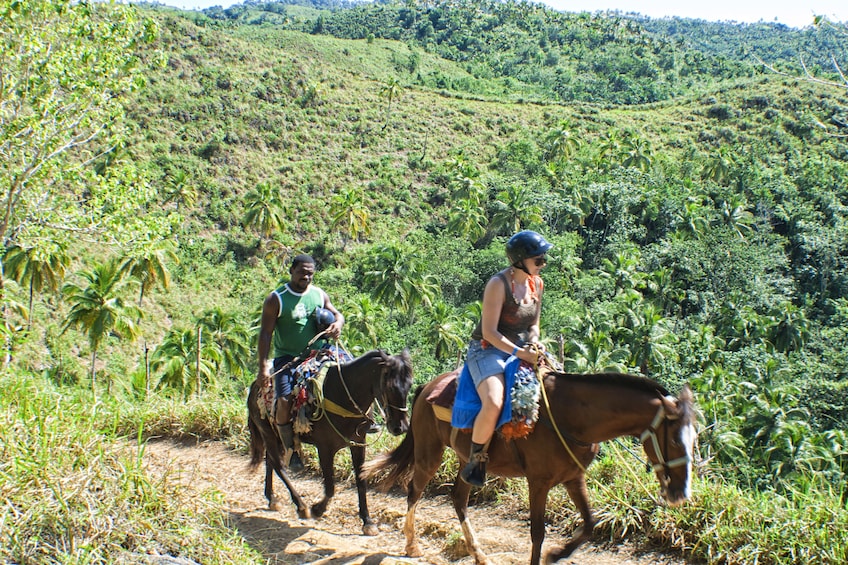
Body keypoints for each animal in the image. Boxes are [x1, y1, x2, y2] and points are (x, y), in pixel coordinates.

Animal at [245, 348, 414, 532]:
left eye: (409, 385)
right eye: (389, 386)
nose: (401, 427)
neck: (342, 395)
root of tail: (254, 386)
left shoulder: (358, 444)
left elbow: (360, 480)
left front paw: (367, 521)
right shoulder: (325, 448)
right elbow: (330, 487)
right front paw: (317, 509)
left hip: (275, 436)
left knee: (270, 461)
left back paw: (272, 498)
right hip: (267, 431)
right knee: (277, 464)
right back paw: (301, 506)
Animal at [364, 368, 696, 560]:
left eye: (694, 439)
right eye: (675, 440)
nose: (681, 493)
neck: (570, 416)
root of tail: (427, 388)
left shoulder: (574, 478)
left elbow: (589, 523)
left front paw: (559, 553)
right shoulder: (538, 482)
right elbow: (537, 533)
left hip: (465, 461)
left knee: (458, 499)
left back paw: (478, 553)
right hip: (429, 453)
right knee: (414, 491)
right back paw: (412, 545)